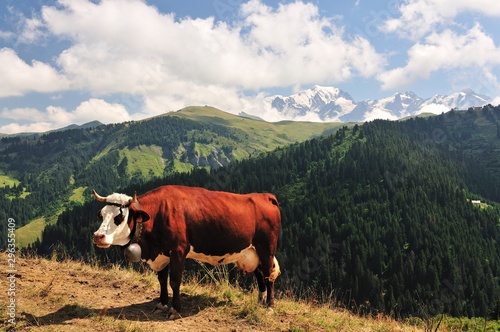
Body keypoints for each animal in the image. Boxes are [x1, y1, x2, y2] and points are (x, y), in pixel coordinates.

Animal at [93, 185, 282, 318]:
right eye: (101, 214)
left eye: (119, 217)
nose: (98, 236)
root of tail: (264, 196)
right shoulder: (161, 254)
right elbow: (162, 280)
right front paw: (162, 304)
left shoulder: (178, 250)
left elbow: (174, 281)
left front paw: (175, 309)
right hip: (251, 252)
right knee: (260, 276)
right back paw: (259, 302)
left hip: (266, 249)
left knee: (268, 276)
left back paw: (269, 307)